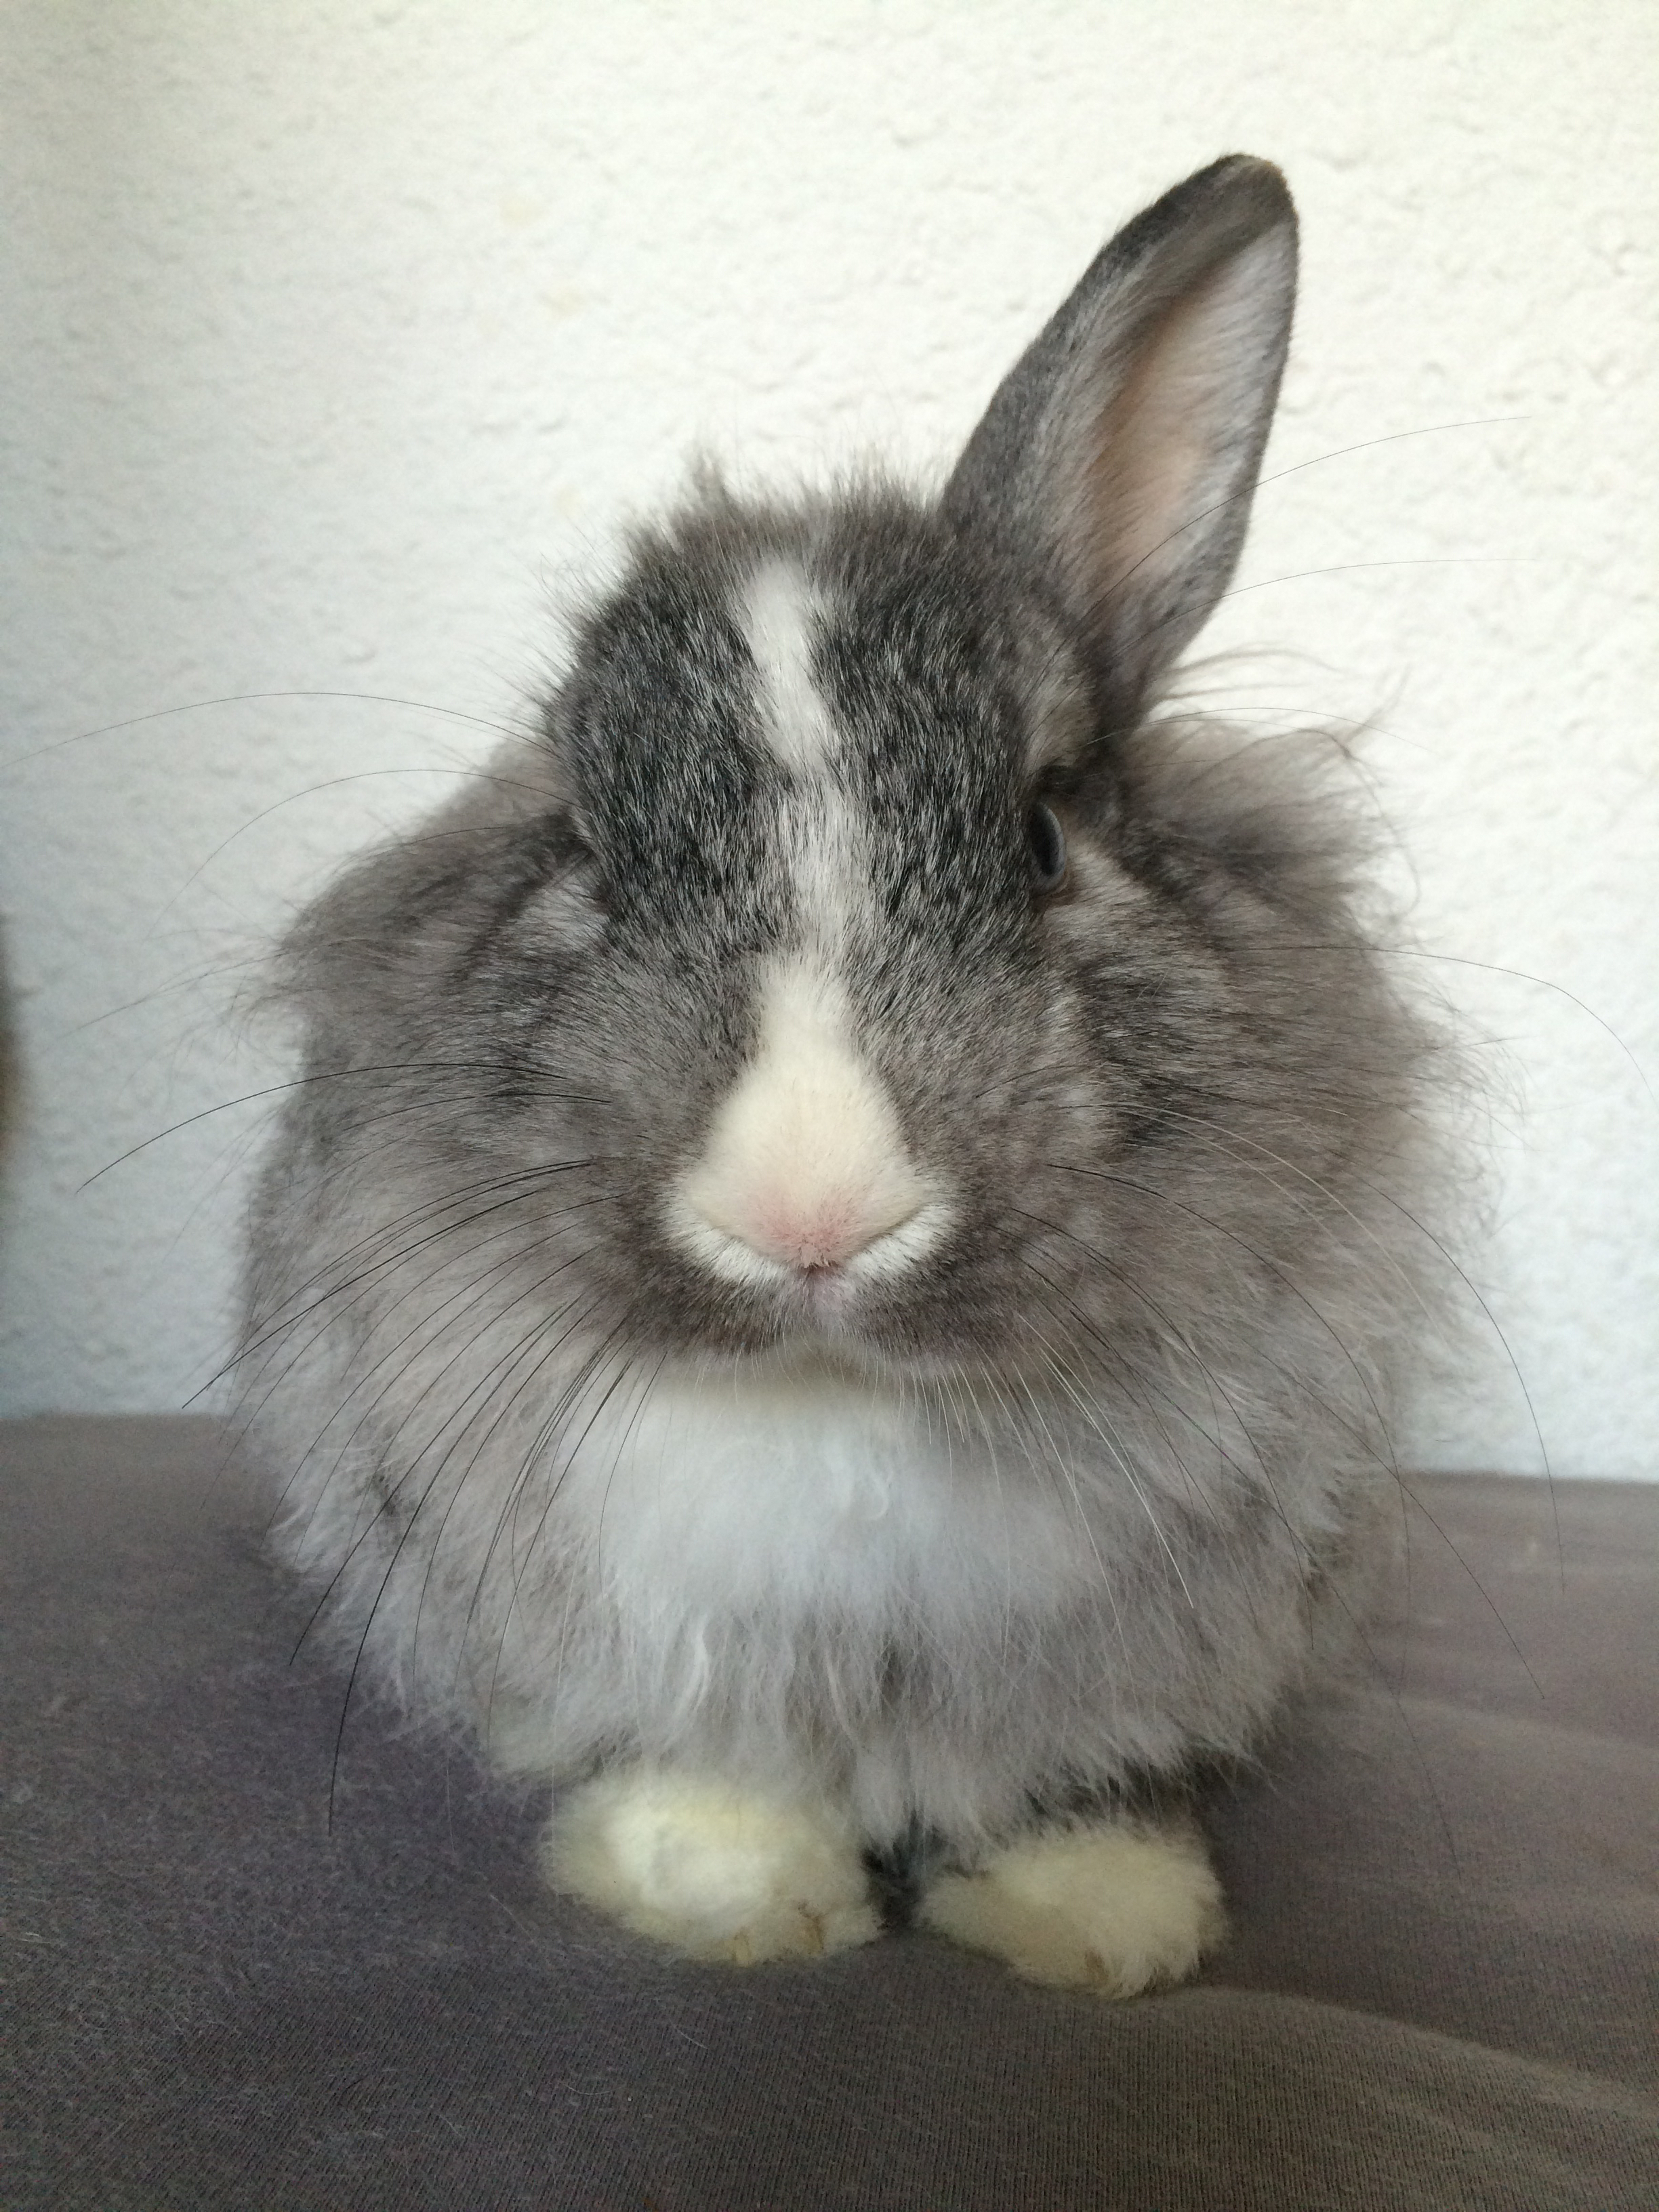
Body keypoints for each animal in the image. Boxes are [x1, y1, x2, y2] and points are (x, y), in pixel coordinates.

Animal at [234, 154, 1450, 1997]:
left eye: (1042, 837)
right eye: (584, 846)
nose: (809, 1213)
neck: (840, 1393)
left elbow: (1060, 1775)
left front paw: (1097, 1922)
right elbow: (708, 1754)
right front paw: (730, 1896)